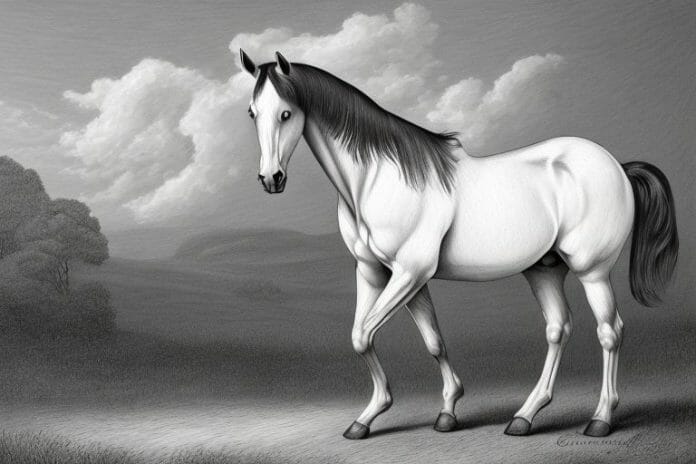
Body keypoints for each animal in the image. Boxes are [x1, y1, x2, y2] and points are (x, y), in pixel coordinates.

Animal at [240, 50, 679, 440]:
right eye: (252, 112)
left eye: (286, 112)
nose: (271, 179)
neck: (377, 179)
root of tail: (617, 166)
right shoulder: (382, 272)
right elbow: (421, 340)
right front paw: (436, 412)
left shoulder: (410, 271)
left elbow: (364, 334)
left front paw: (376, 414)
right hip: (545, 268)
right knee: (558, 328)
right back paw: (525, 416)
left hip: (593, 271)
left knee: (610, 331)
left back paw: (600, 419)